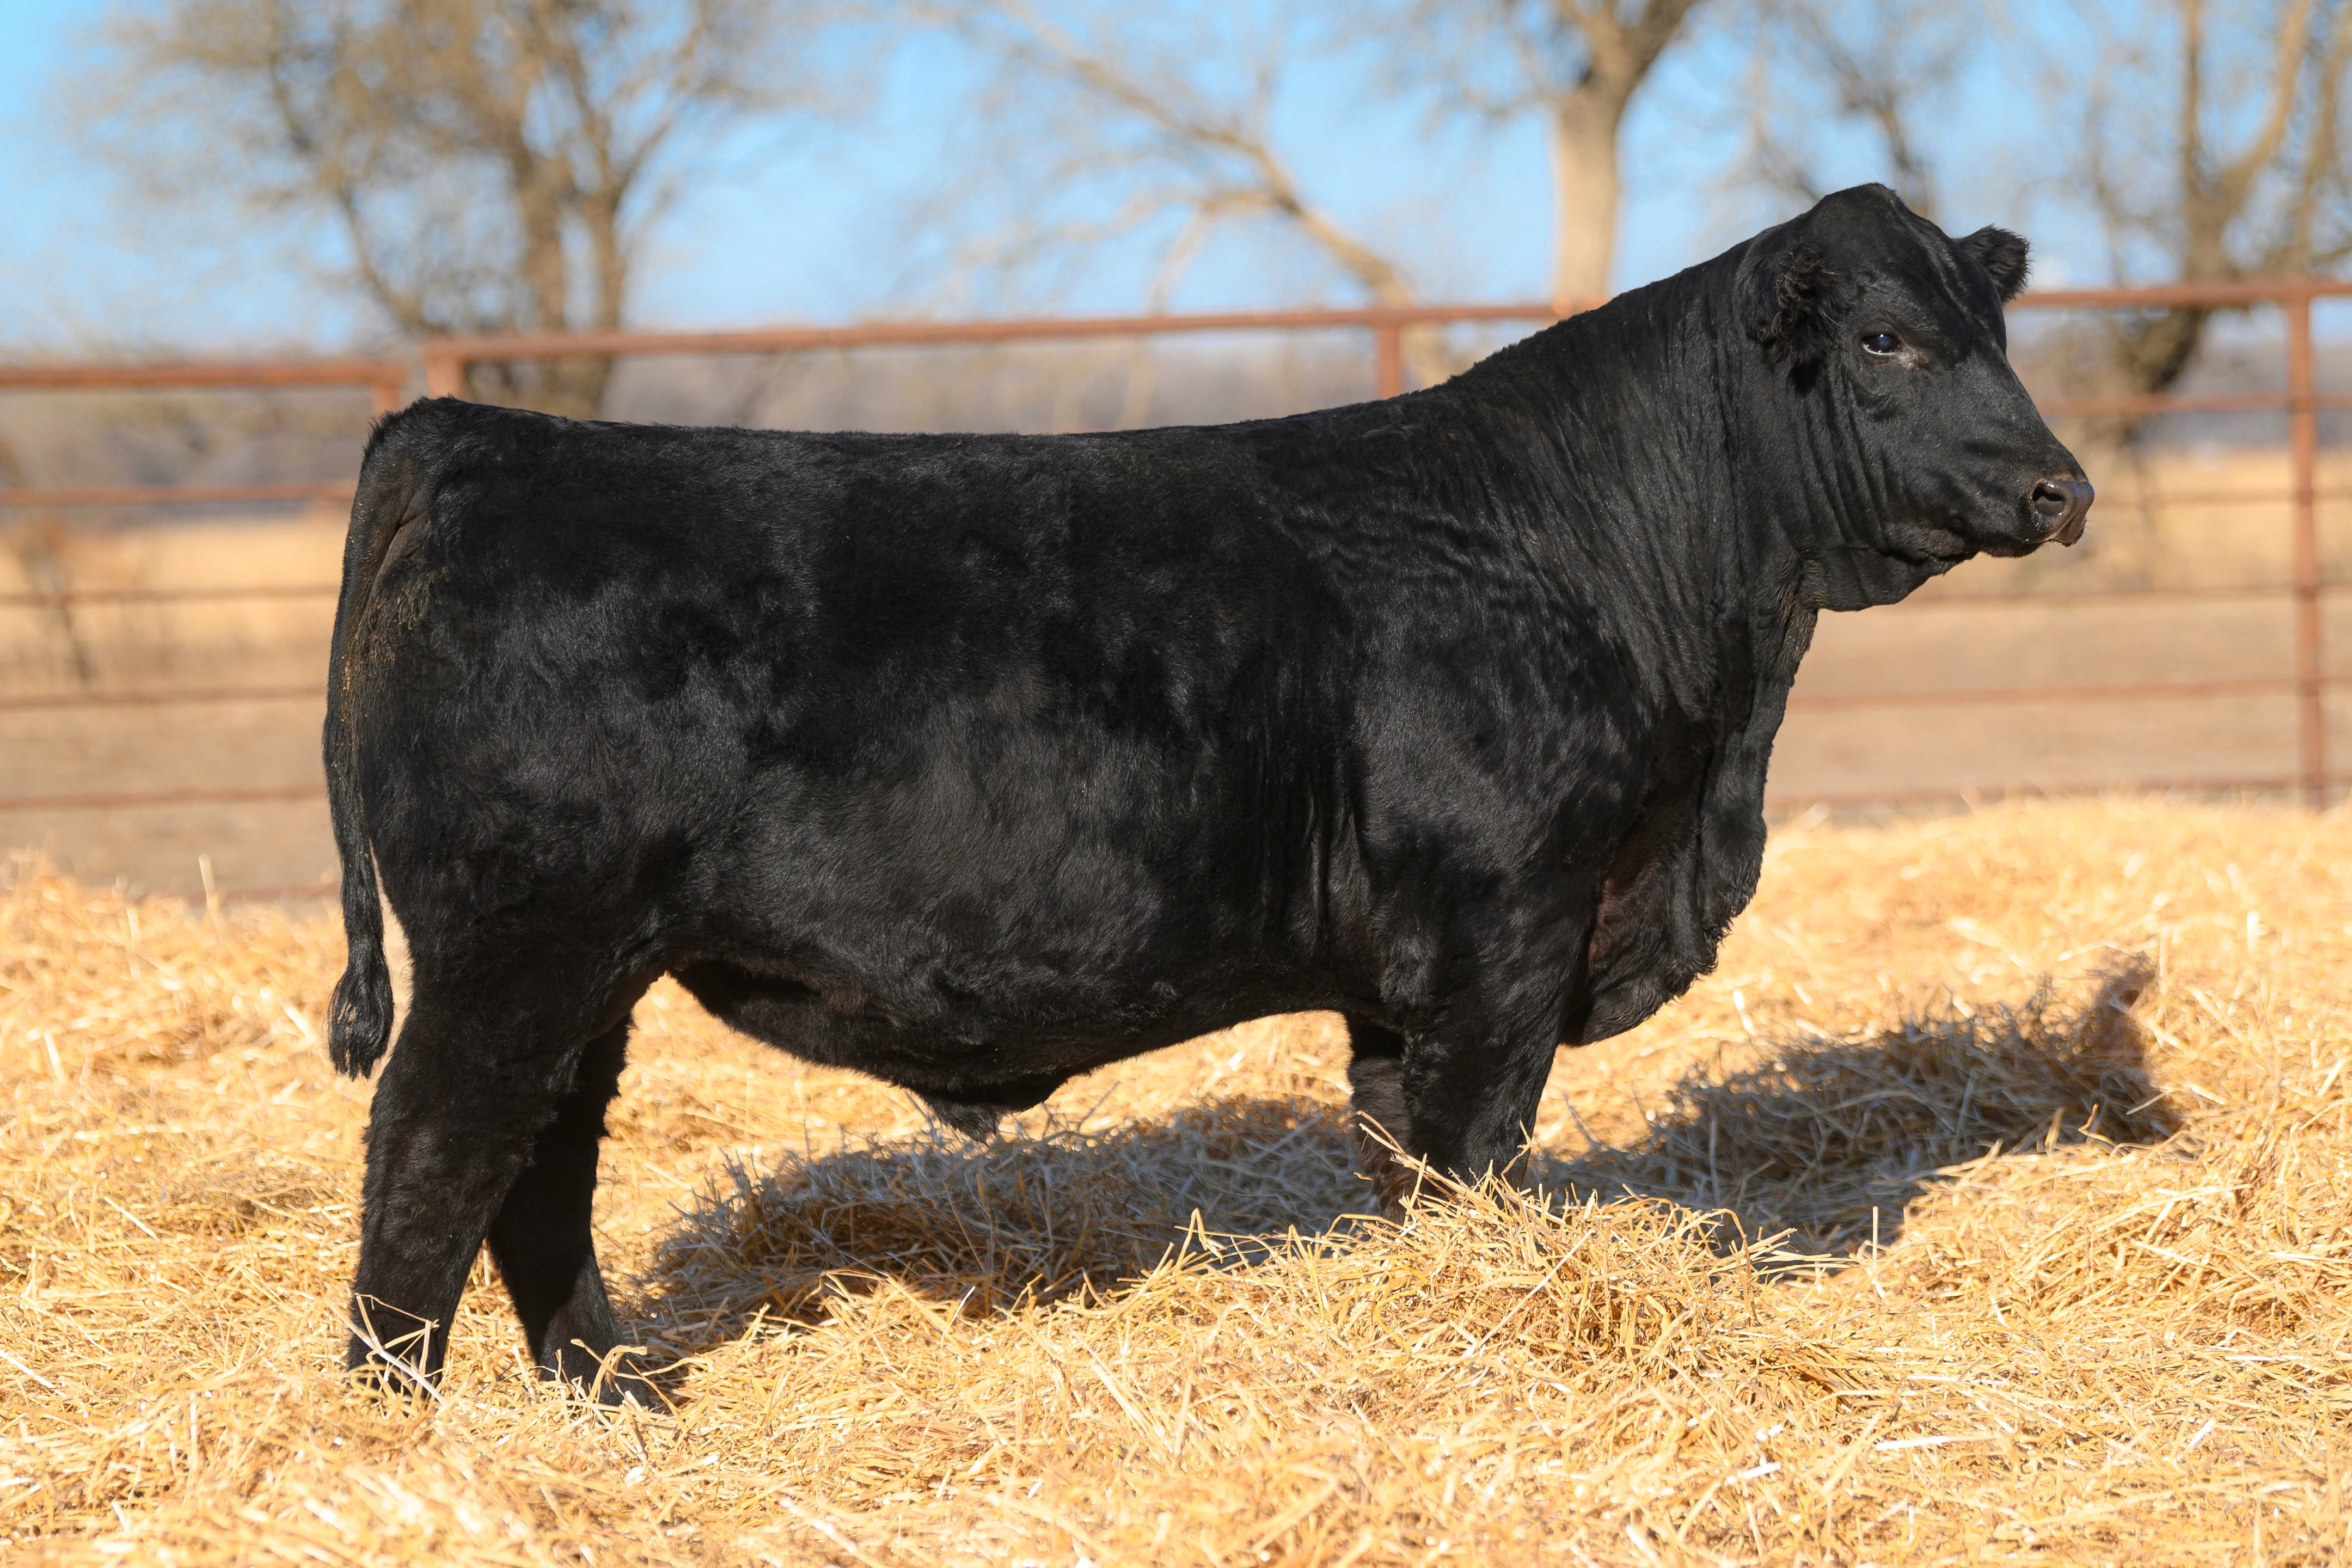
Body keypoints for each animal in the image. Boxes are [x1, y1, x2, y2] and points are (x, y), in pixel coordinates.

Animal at [322, 184, 2091, 1395]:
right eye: (1882, 338)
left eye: (1998, 331)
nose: (2060, 488)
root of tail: (477, 429)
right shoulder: (1504, 929)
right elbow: (1473, 1153)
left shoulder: (1406, 974)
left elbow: (1401, 1160)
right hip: (514, 948)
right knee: (434, 1154)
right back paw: (398, 1421)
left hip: (588, 969)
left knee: (539, 1171)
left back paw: (611, 1400)